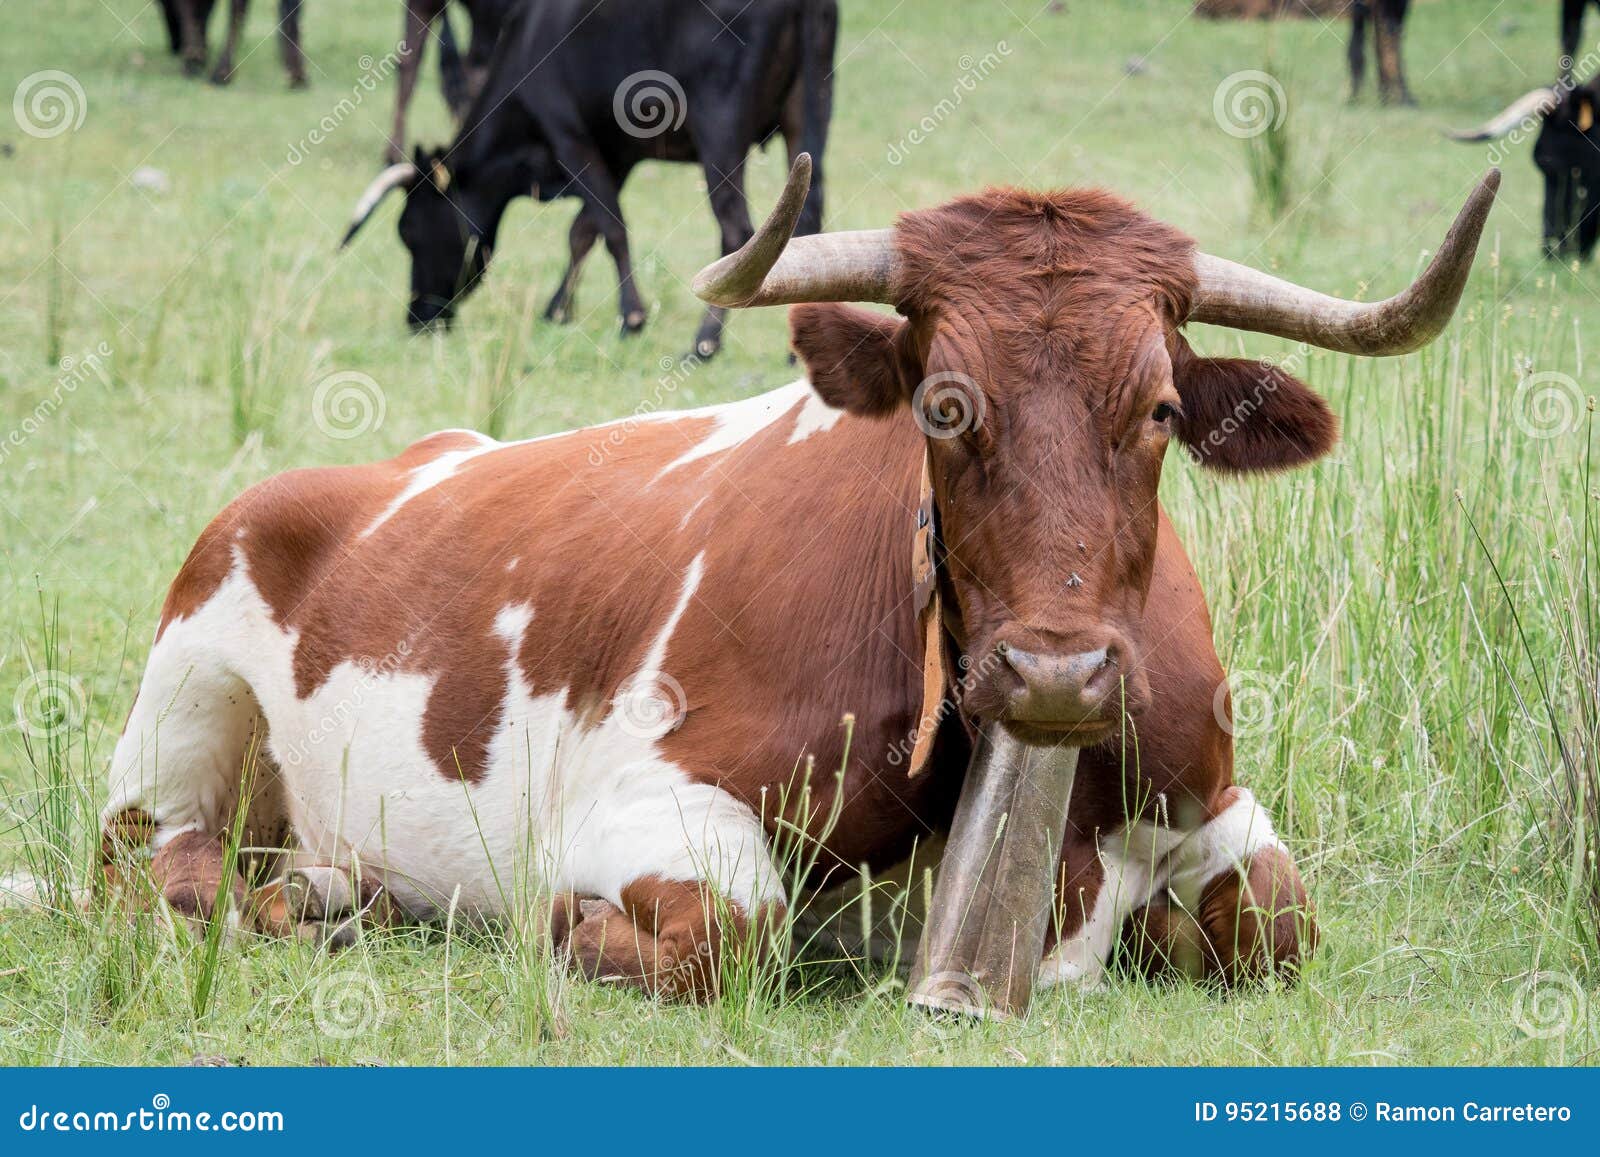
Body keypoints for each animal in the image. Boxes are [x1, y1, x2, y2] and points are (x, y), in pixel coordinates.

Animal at [95, 156, 1497, 999]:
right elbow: (733, 927)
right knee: (159, 864)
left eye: (1158, 407)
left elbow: (1278, 919)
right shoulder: (633, 795)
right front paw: (563, 928)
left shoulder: (1210, 796)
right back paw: (298, 896)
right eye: (941, 404)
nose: (1054, 672)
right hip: (177, 719)